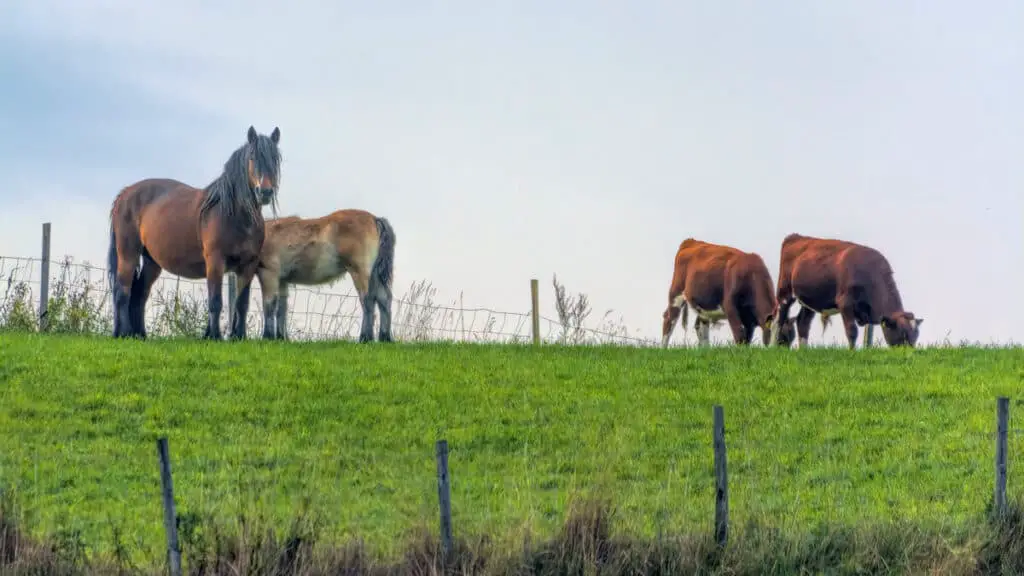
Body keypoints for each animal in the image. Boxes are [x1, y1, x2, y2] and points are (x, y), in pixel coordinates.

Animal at [107, 125, 282, 338]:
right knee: (122, 291)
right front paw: (214, 336)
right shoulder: (215, 261)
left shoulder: (248, 265)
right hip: (128, 254)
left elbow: (242, 304)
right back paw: (123, 332)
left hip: (152, 262)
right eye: (252, 157)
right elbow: (215, 301)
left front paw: (238, 336)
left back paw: (140, 334)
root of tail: (124, 194)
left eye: (275, 159)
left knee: (140, 293)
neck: (234, 215)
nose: (265, 192)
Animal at [256, 207, 395, 338]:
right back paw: (385, 337)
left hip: (360, 272)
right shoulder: (282, 280)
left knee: (368, 300)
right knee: (384, 299)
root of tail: (374, 219)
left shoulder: (269, 275)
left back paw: (365, 338)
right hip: (375, 275)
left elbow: (269, 305)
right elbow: (282, 308)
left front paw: (267, 336)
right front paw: (281, 337)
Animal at [659, 237, 794, 344]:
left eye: (790, 340)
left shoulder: (749, 320)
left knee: (700, 327)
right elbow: (739, 335)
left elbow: (747, 338)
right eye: (780, 340)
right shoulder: (730, 307)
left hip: (703, 306)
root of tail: (690, 241)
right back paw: (663, 347)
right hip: (676, 293)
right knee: (669, 319)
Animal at [770, 231, 925, 348]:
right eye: (902, 335)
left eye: (915, 336)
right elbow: (852, 331)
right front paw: (852, 351)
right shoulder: (845, 303)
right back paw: (774, 346)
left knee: (802, 322)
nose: (909, 353)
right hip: (785, 292)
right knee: (778, 319)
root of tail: (796, 237)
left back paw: (804, 349)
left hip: (809, 299)